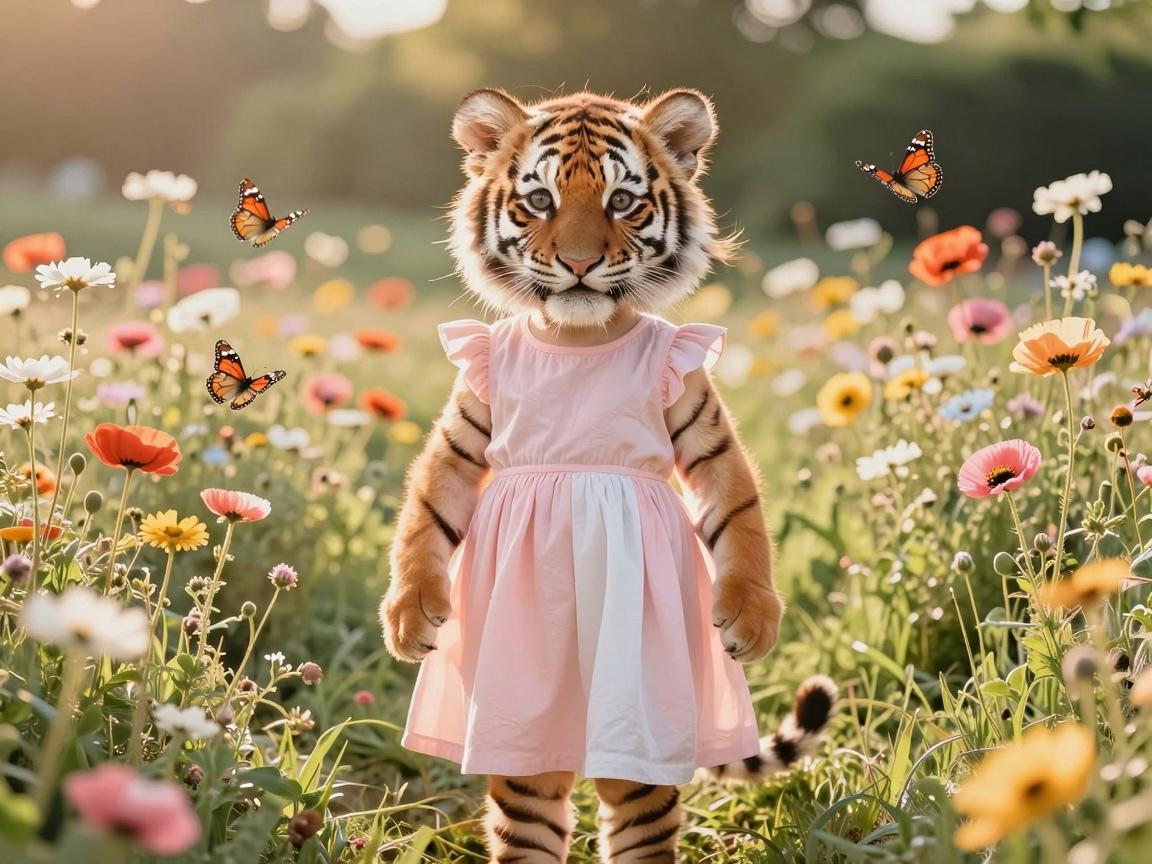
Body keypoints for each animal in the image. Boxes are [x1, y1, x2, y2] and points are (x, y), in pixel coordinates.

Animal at [381, 88, 835, 863]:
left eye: (622, 201)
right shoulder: (468, 416)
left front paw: (752, 615)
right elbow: (429, 507)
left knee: (640, 814)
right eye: (539, 199)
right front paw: (410, 611)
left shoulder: (696, 407)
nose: (579, 263)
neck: (577, 336)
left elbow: (737, 509)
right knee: (530, 813)